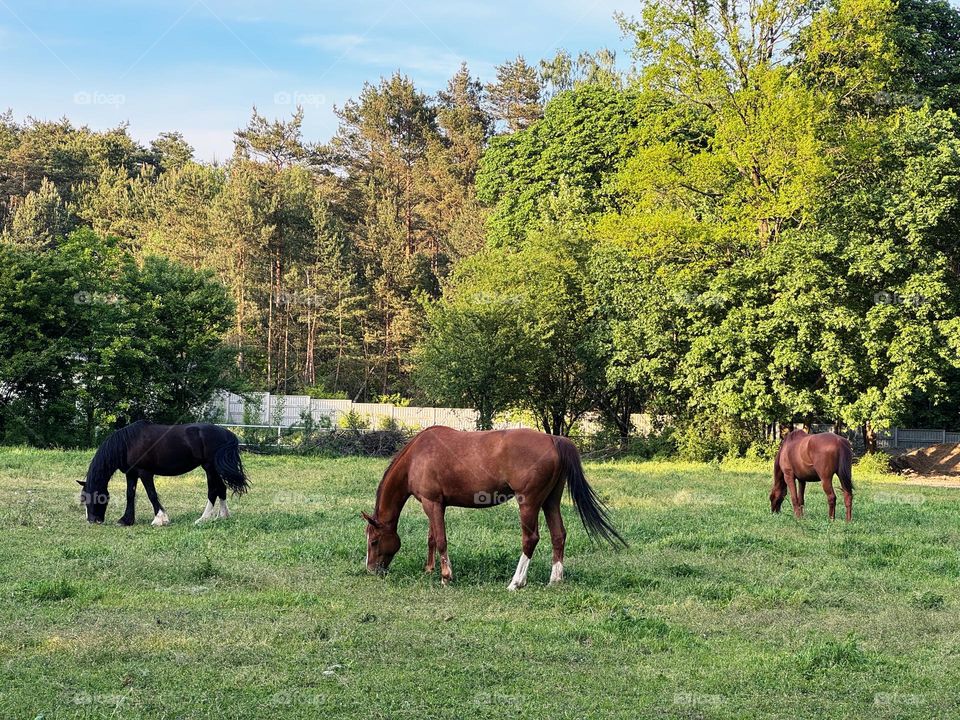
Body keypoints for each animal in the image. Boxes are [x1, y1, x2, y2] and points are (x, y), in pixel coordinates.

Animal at [78, 420, 249, 526]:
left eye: (96, 497)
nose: (92, 520)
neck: (127, 444)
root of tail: (227, 433)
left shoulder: (145, 473)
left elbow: (151, 494)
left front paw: (160, 519)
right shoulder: (131, 474)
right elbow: (130, 495)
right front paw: (126, 520)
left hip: (209, 468)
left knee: (213, 490)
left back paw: (202, 519)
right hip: (213, 469)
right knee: (221, 489)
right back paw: (223, 516)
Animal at [361, 426, 626, 590]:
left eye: (374, 541)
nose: (371, 570)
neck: (417, 456)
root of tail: (554, 439)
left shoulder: (432, 503)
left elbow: (441, 539)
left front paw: (446, 577)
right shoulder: (436, 505)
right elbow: (432, 538)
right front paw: (429, 569)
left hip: (528, 503)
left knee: (531, 539)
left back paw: (516, 582)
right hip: (551, 501)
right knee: (558, 535)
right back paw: (555, 579)